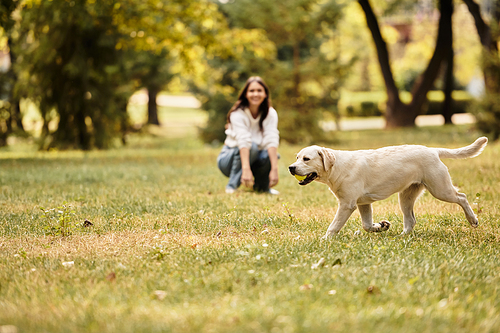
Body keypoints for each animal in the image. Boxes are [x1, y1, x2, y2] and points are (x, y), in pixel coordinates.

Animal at [290, 136, 488, 237]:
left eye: (306, 159)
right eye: (296, 157)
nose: (291, 168)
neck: (337, 167)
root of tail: (432, 150)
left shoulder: (347, 205)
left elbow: (334, 225)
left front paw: (325, 240)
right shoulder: (363, 203)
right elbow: (366, 225)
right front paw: (381, 226)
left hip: (441, 189)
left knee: (462, 197)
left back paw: (473, 220)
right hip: (406, 197)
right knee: (411, 220)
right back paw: (402, 237)